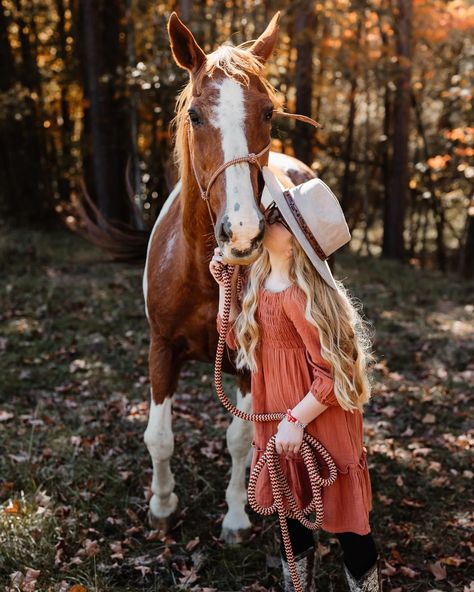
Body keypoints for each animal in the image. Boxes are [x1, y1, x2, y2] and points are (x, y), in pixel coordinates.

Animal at [143, 10, 316, 544]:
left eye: (269, 113)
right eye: (196, 116)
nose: (241, 232)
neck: (206, 276)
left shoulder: (247, 362)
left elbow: (241, 438)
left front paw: (237, 515)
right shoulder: (161, 347)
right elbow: (159, 437)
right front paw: (162, 506)